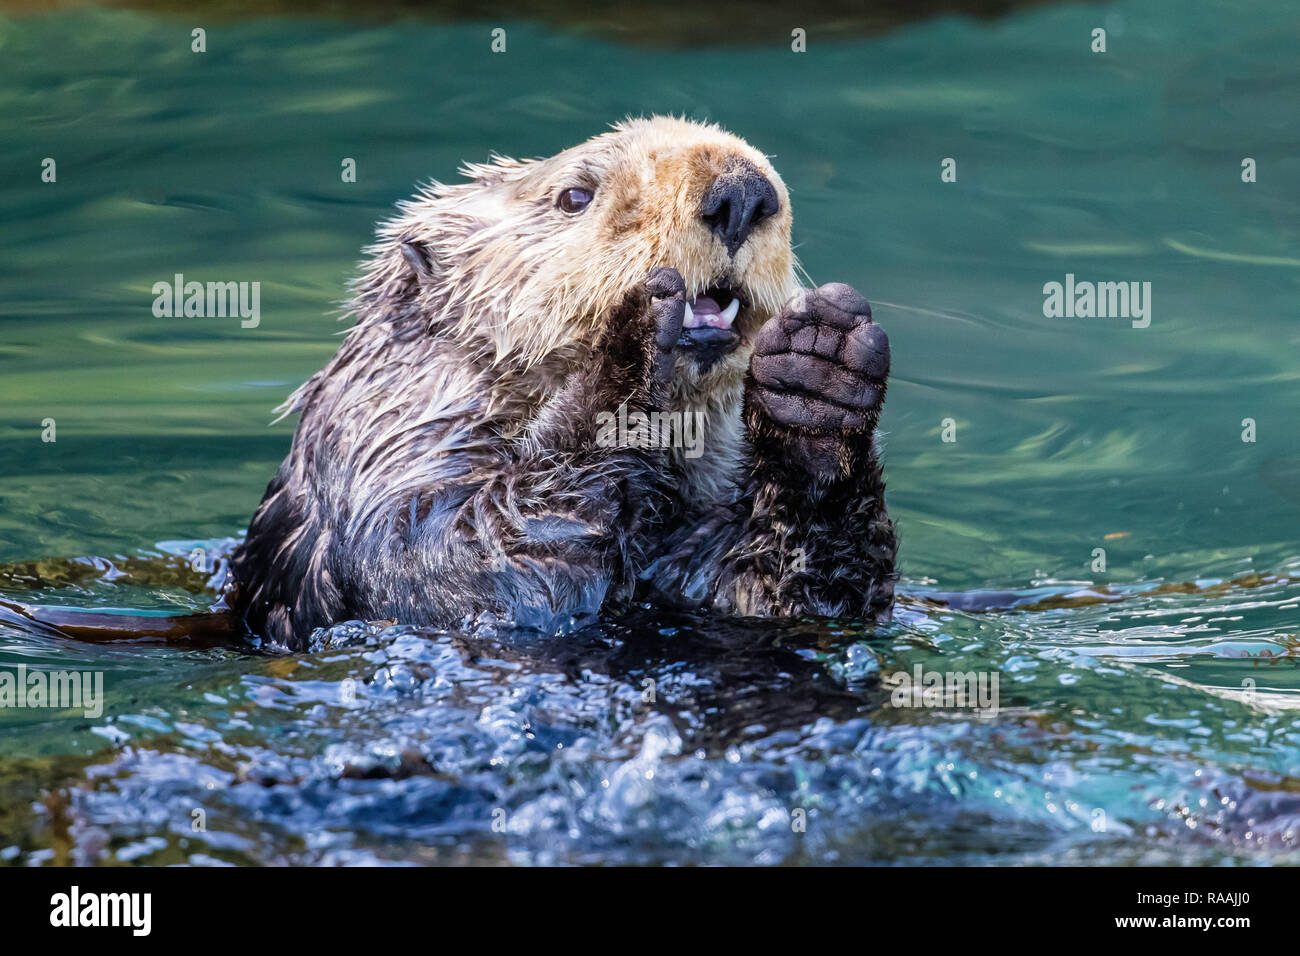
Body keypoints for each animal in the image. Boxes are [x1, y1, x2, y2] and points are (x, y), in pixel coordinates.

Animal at [231, 113, 894, 650]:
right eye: (575, 195)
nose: (741, 191)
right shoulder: (389, 454)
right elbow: (457, 560)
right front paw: (633, 326)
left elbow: (778, 590)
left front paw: (817, 376)